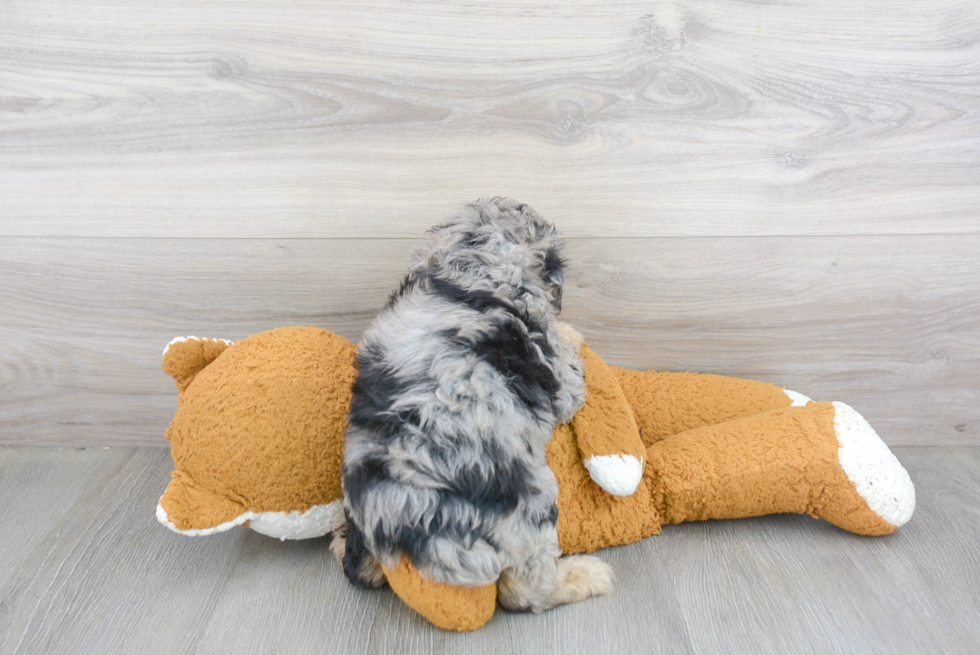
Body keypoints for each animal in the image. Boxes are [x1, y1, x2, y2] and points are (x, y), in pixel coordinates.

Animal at [336, 197, 612, 612]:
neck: (471, 265)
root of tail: (408, 531)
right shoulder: (561, 381)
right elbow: (569, 367)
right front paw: (570, 332)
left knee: (361, 570)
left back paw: (339, 544)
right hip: (530, 504)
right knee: (524, 591)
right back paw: (584, 575)